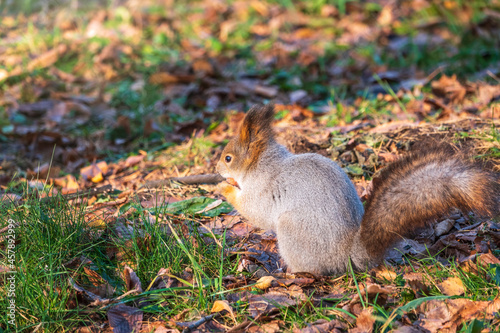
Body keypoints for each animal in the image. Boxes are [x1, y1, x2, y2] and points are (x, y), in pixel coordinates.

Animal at [218, 104, 500, 274]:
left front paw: (224, 187)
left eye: (228, 158)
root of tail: (347, 255)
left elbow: (255, 211)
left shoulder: (263, 189)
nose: (217, 168)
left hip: (292, 232)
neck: (264, 163)